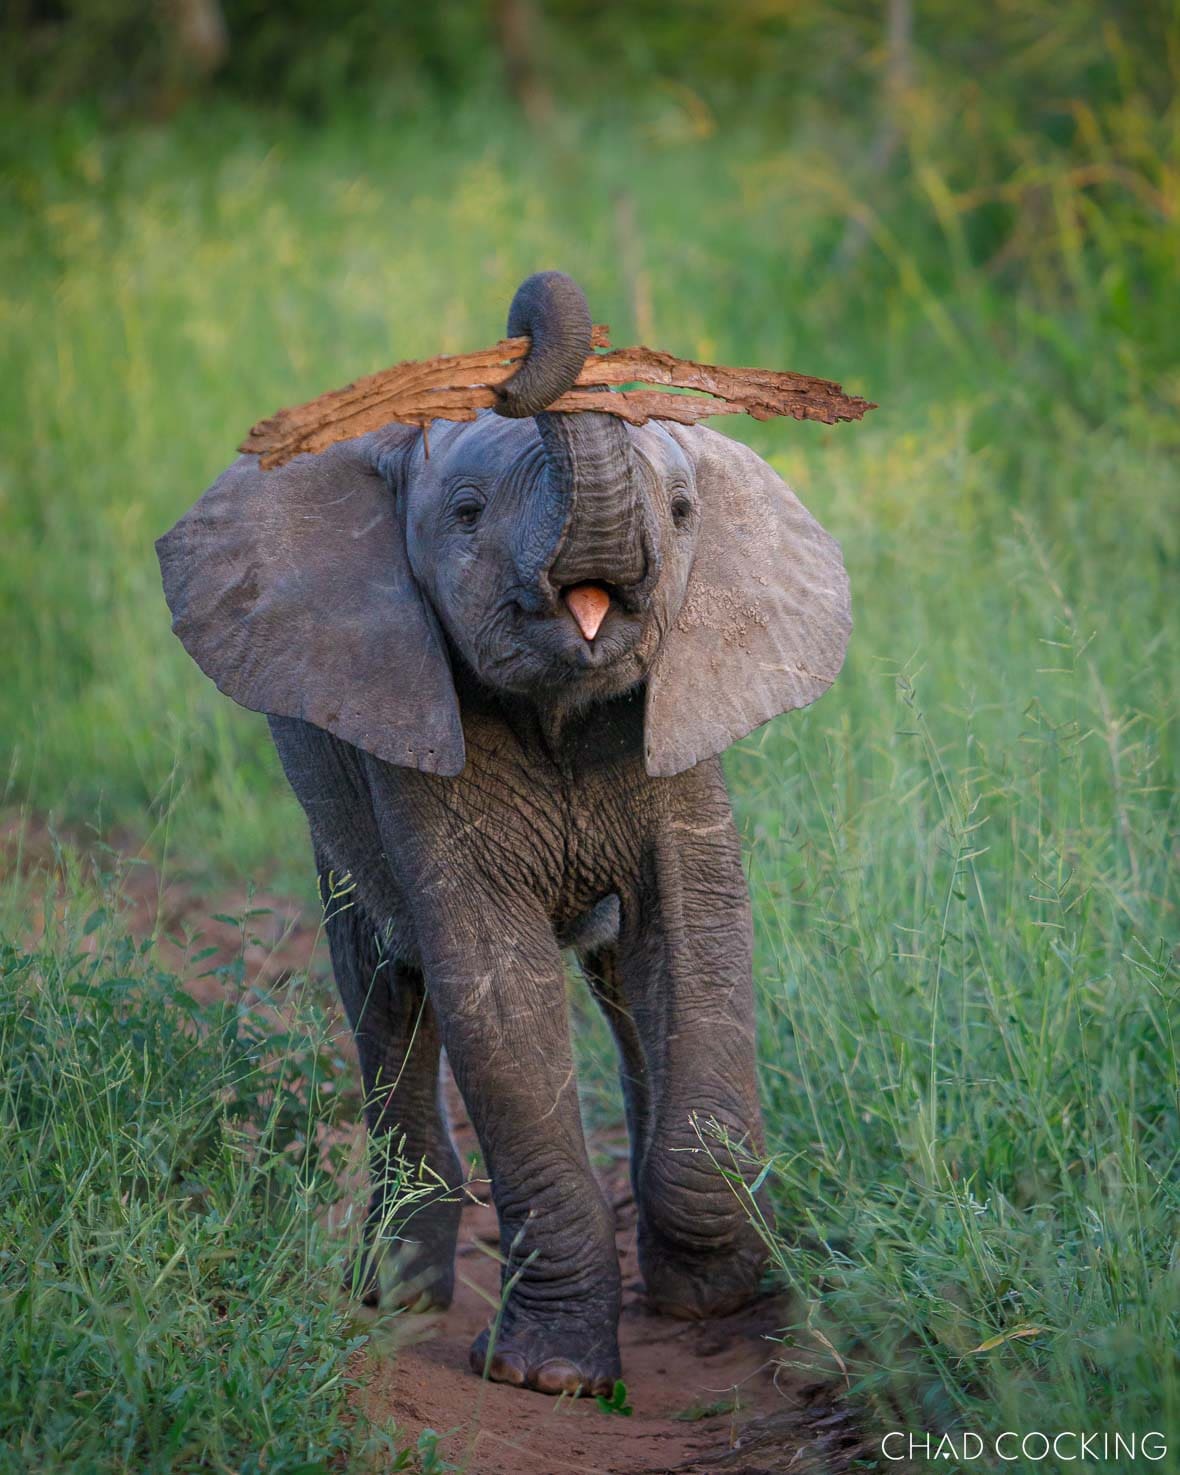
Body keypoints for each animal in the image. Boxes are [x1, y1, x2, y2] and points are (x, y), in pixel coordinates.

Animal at [157, 271, 851, 1398]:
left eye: (684, 511)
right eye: (467, 514)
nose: (530, 322)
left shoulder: (677, 720)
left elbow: (697, 936)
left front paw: (714, 1295)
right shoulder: (407, 727)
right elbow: (494, 988)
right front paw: (549, 1376)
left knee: (617, 987)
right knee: (384, 986)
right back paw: (395, 1295)